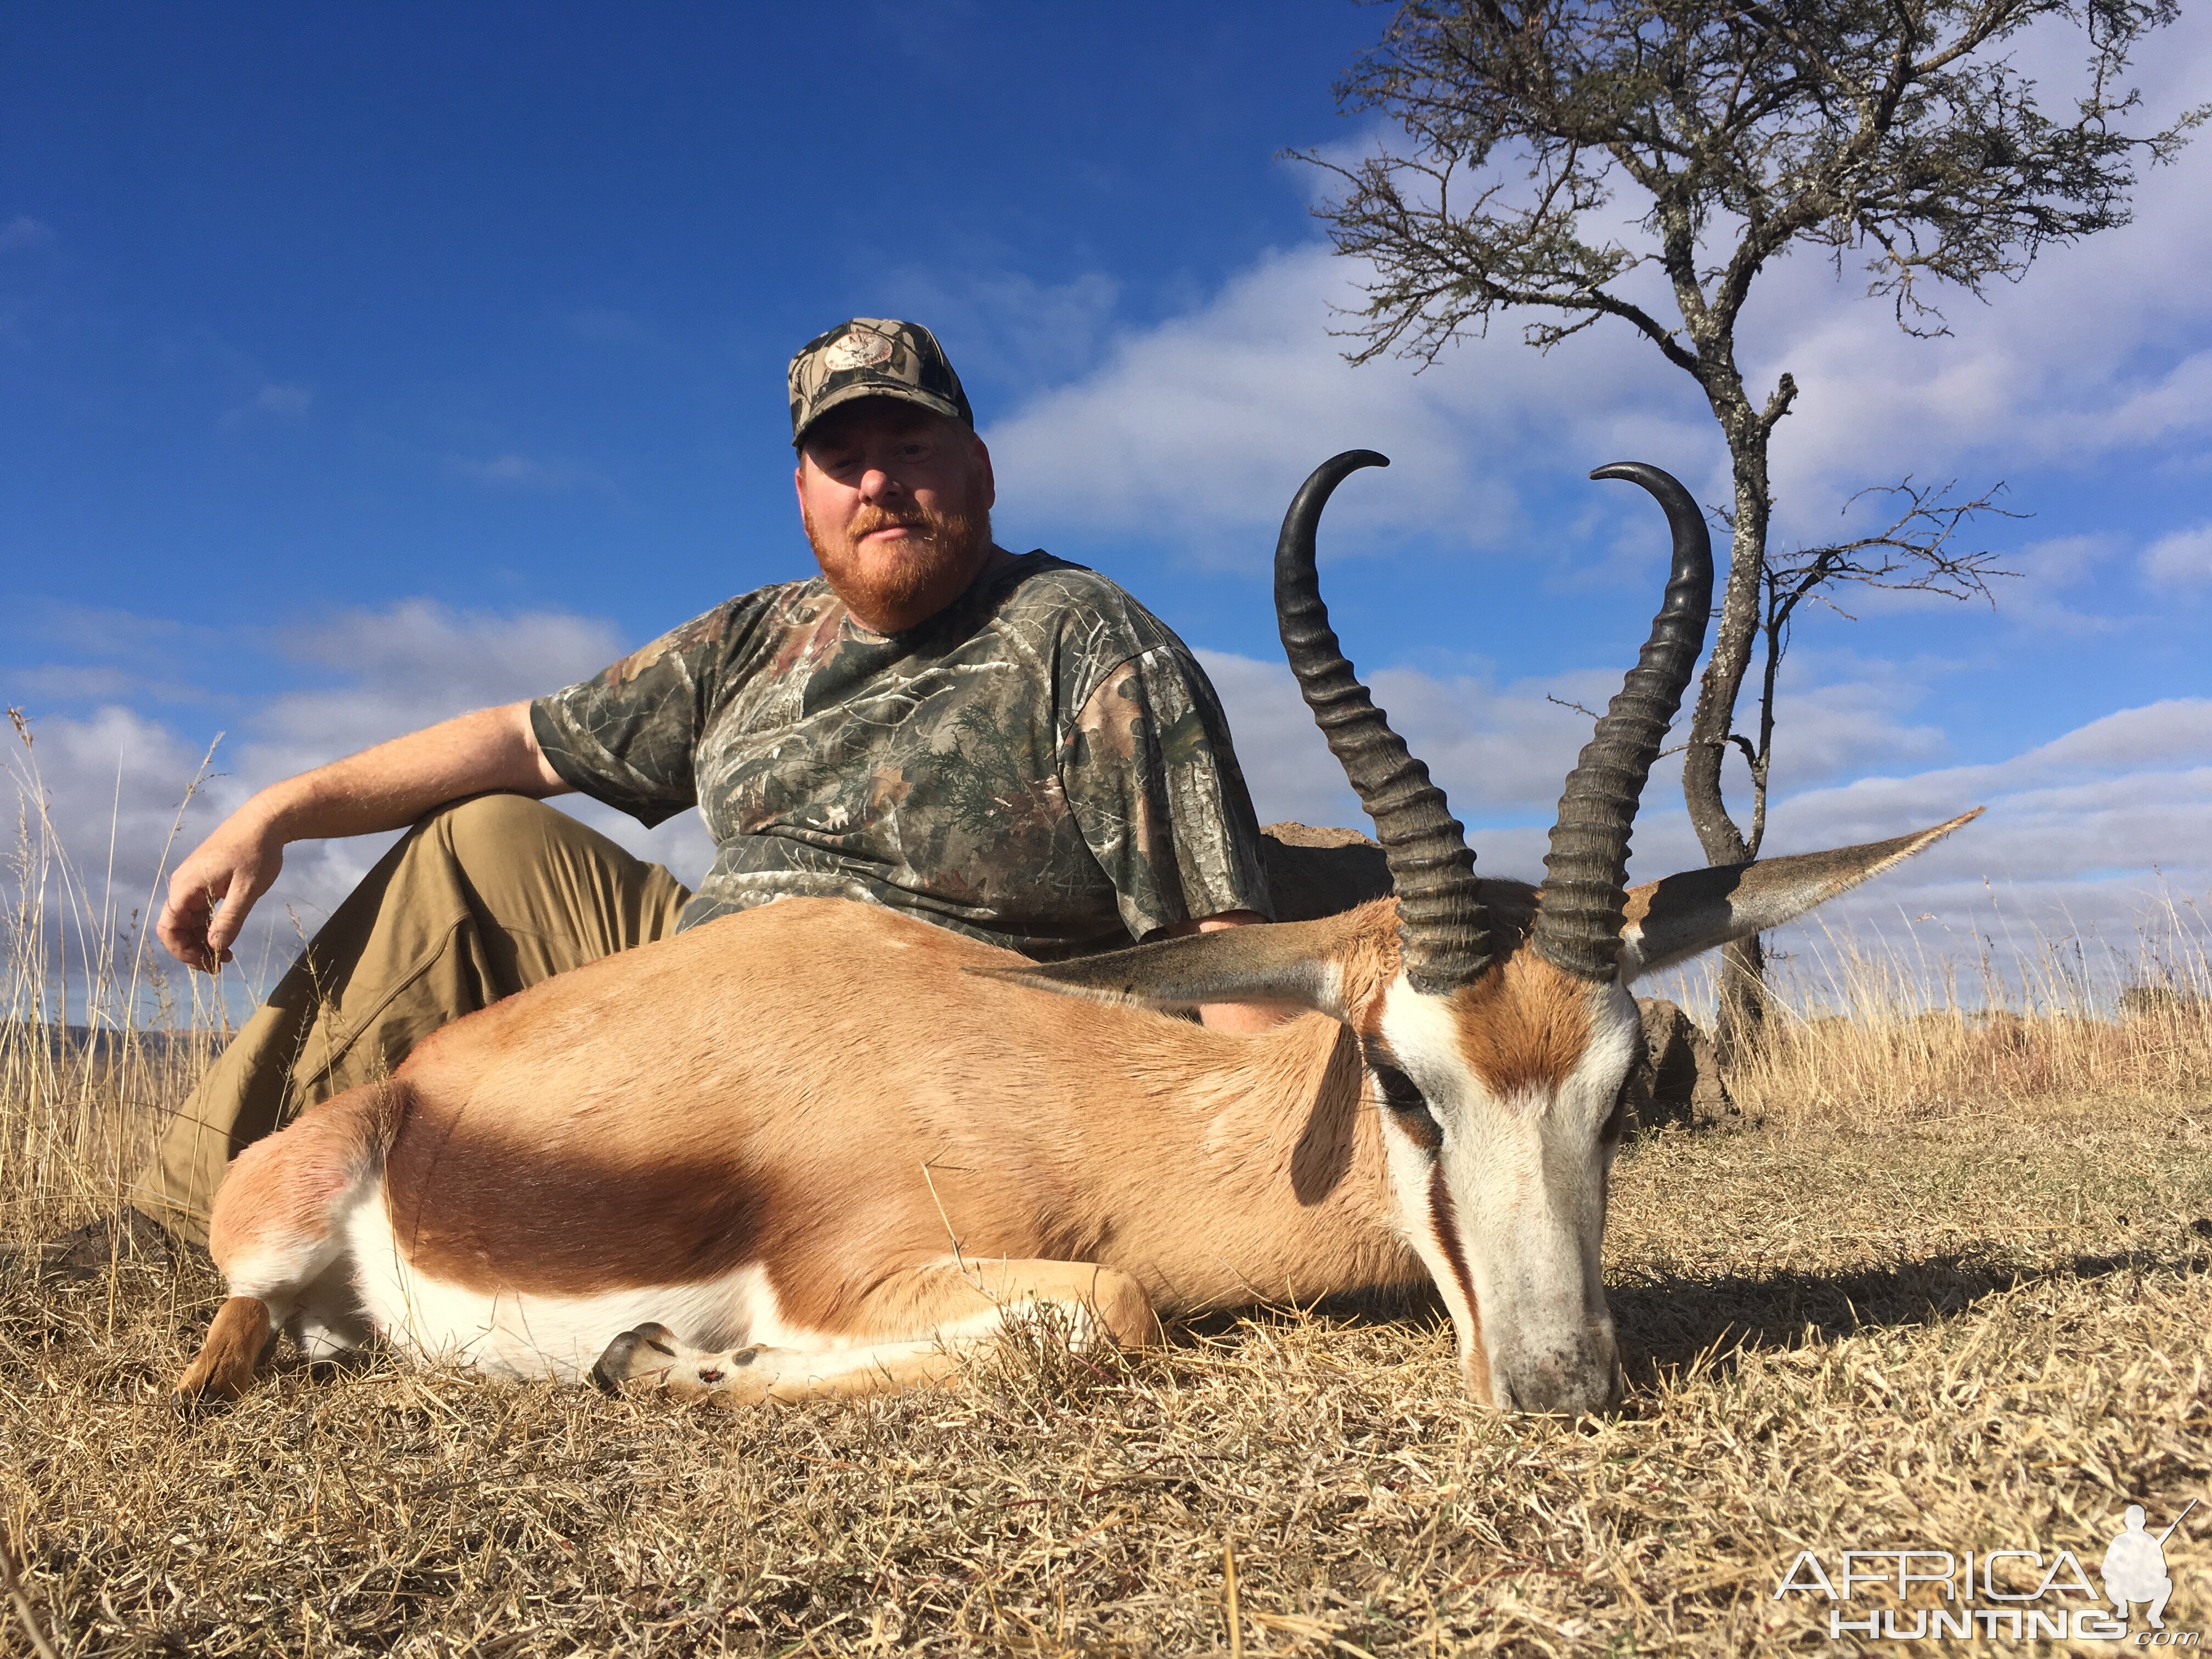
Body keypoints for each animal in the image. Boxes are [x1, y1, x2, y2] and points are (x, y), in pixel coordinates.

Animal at [177, 451, 1973, 1415]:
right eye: (1403, 1082)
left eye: (1620, 1088)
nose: (1556, 1382)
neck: (1056, 1081)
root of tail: (411, 1091)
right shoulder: (863, 1272)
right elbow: (1113, 1310)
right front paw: (659, 1365)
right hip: (267, 1224)